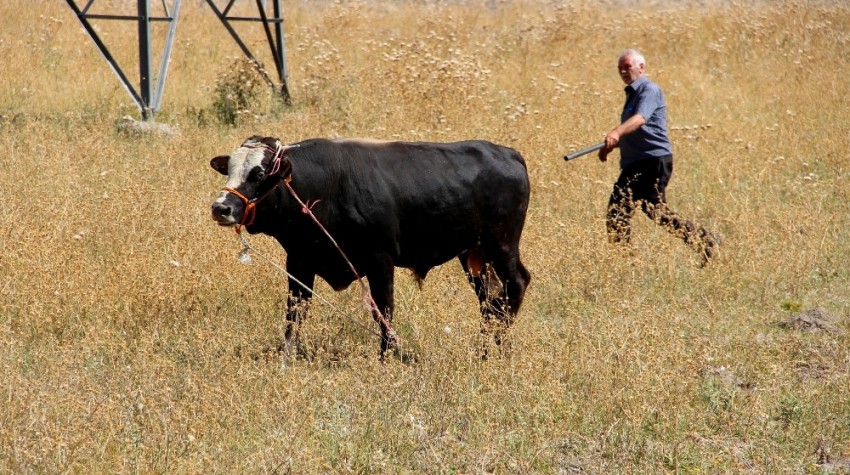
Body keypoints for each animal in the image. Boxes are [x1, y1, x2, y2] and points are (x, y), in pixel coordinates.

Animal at [210, 136, 528, 356]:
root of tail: (509, 154)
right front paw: (286, 358)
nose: (221, 207)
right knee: (490, 301)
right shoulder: (299, 262)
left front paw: (386, 359)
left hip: (502, 246)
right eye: (230, 170)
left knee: (515, 286)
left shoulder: (380, 261)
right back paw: (486, 351)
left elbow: (383, 312)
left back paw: (500, 349)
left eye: (259, 173)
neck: (324, 188)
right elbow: (295, 314)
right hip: (474, 256)